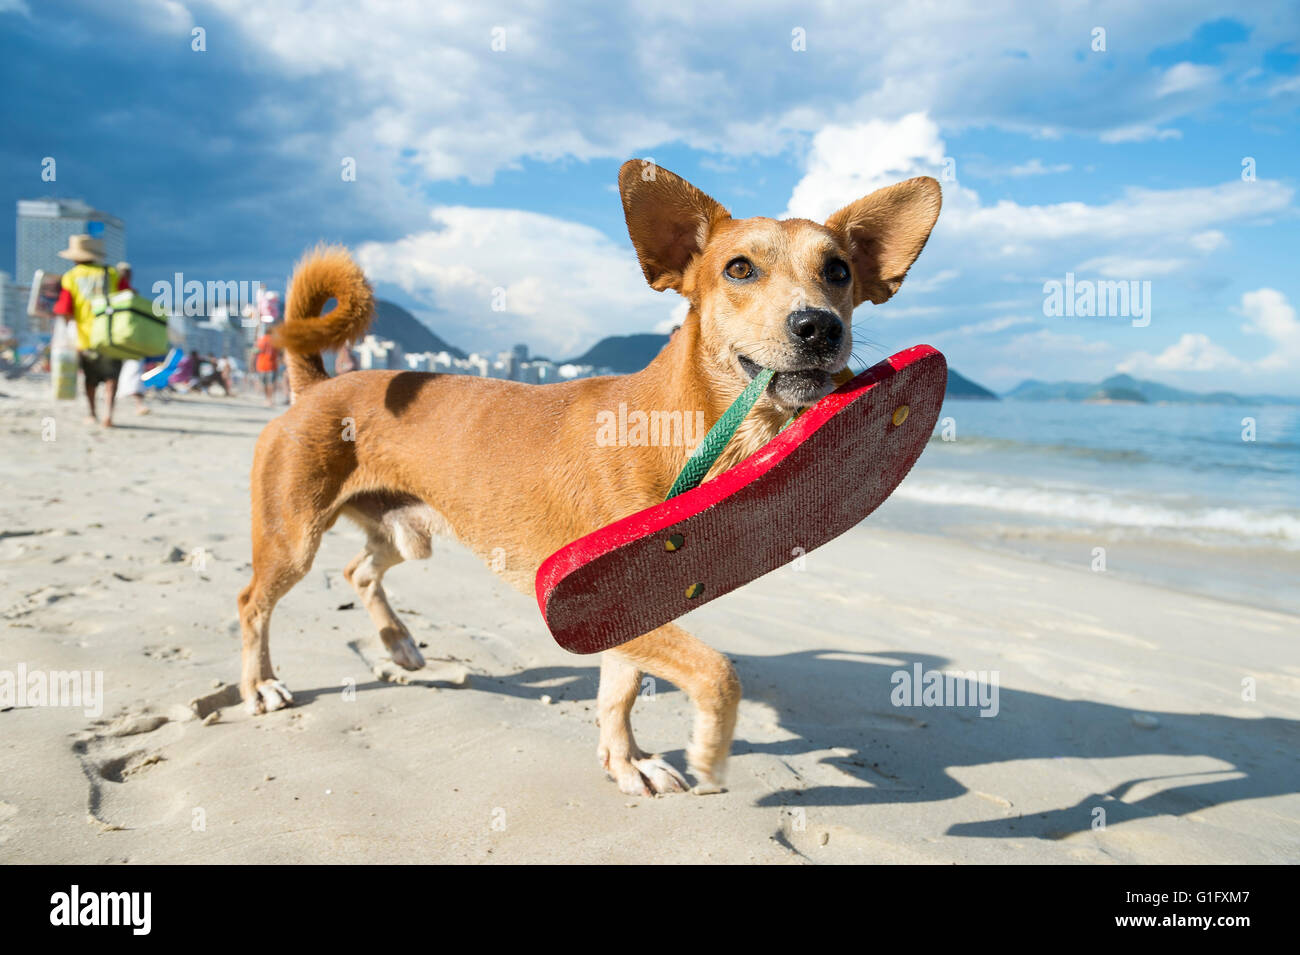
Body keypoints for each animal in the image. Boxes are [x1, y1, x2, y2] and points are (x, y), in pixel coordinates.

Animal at [239, 160, 941, 795]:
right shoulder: (616, 604)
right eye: (739, 268)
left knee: (358, 570)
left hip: (406, 531)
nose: (820, 326)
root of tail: (317, 383)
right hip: (293, 538)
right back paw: (262, 684)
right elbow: (718, 673)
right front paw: (709, 753)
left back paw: (399, 643)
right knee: (253, 604)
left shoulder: (618, 609)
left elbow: (618, 692)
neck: (694, 430)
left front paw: (625, 762)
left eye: (839, 271)